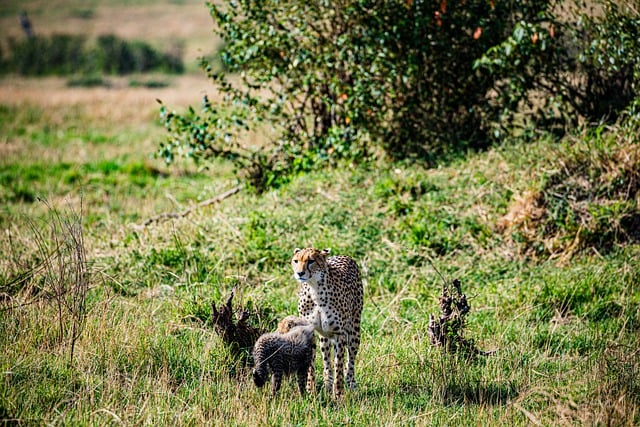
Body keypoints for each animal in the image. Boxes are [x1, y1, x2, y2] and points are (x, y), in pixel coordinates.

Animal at [292, 247, 362, 398]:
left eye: (311, 261)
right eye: (296, 261)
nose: (299, 273)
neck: (315, 290)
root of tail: (344, 256)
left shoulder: (339, 334)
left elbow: (339, 366)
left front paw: (339, 394)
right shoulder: (309, 332)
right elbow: (311, 365)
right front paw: (310, 391)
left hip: (354, 330)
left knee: (351, 361)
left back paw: (350, 384)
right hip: (324, 338)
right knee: (326, 363)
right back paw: (327, 385)